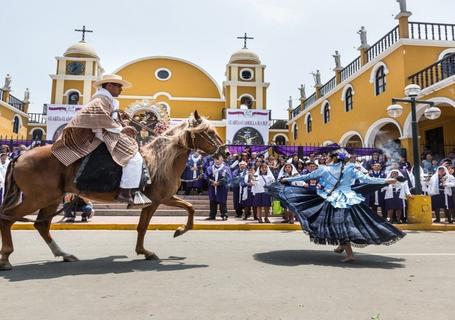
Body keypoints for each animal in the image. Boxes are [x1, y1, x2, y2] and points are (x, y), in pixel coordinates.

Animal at [0, 110, 225, 270]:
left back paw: (64, 255)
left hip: (51, 198)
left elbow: (190, 208)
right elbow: (144, 226)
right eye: (208, 132)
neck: (161, 160)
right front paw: (149, 249)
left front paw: (178, 231)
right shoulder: (156, 200)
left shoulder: (166, 197)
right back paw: (6, 258)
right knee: (8, 218)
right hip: (38, 198)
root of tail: (19, 156)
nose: (226, 152)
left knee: (41, 225)